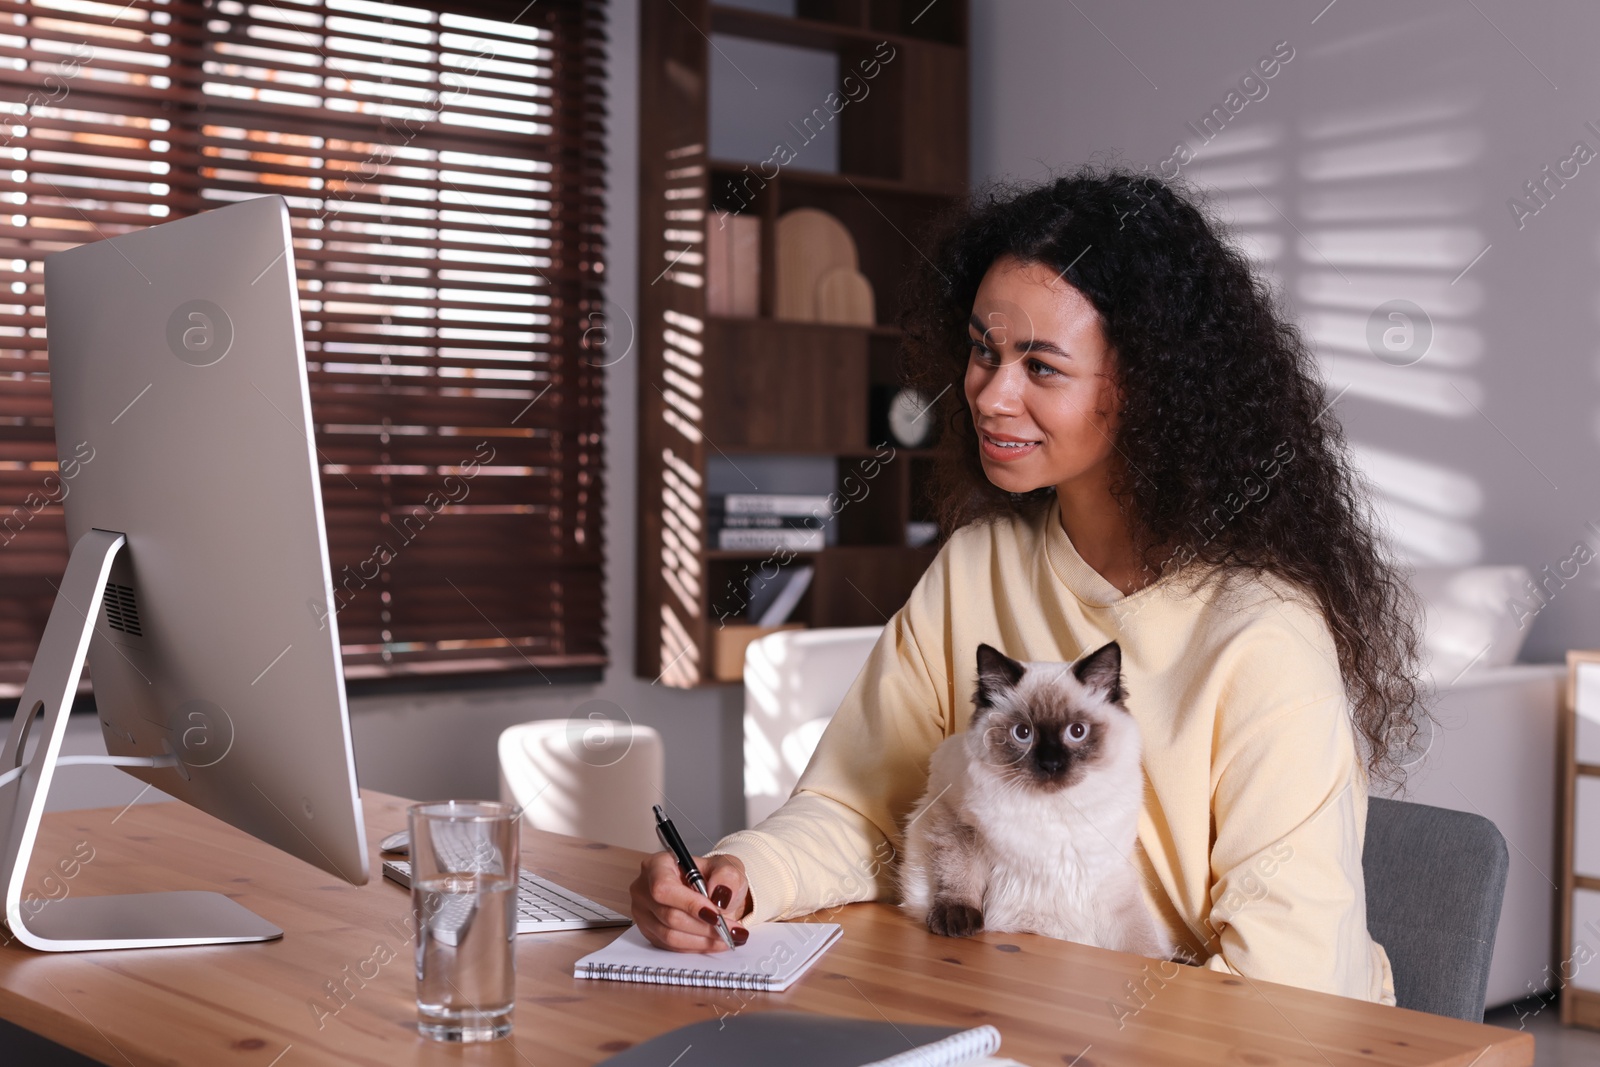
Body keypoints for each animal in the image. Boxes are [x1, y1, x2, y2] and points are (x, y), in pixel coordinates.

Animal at [896, 643, 1171, 959]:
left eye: (1077, 731)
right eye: (1023, 733)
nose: (1050, 764)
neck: (1055, 810)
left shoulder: (1111, 874)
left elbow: (1140, 943)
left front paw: (1155, 961)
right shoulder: (952, 816)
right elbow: (960, 873)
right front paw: (957, 919)